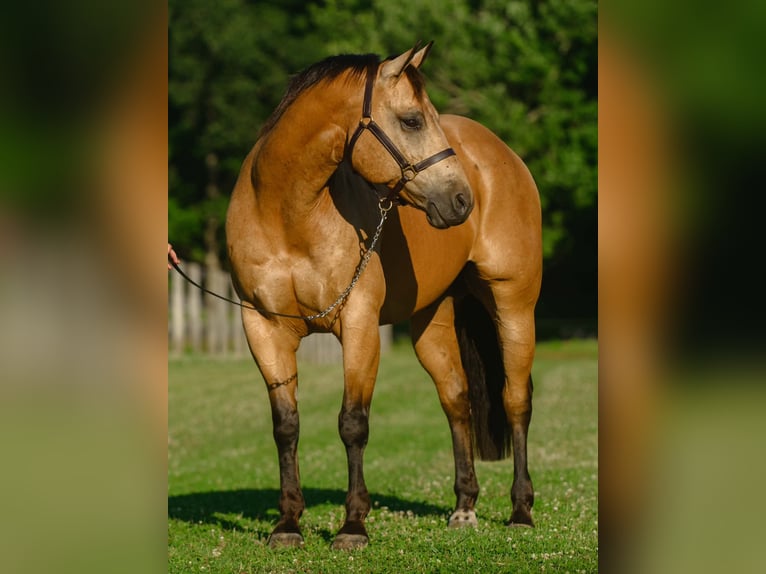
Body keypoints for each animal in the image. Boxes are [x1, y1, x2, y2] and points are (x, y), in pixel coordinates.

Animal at [225, 43, 542, 550]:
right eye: (411, 120)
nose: (461, 200)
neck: (287, 217)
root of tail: (502, 154)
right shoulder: (263, 328)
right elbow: (286, 426)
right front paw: (288, 523)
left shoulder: (357, 324)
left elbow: (353, 423)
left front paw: (353, 526)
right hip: (431, 323)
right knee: (457, 400)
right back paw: (464, 508)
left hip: (514, 306)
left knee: (516, 400)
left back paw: (520, 512)